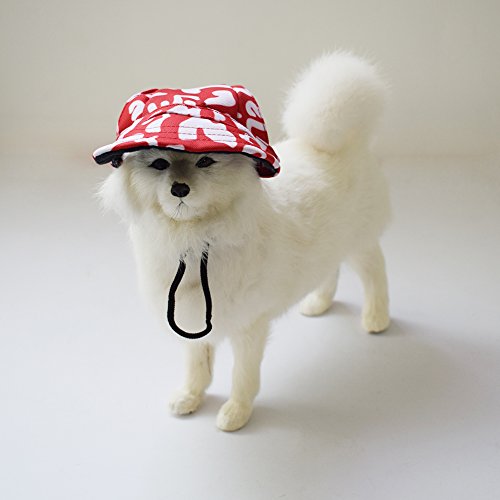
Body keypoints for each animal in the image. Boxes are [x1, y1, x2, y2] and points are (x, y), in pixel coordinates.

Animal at [97, 52, 391, 431]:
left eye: (206, 161)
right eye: (159, 163)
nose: (180, 188)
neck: (196, 240)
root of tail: (336, 143)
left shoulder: (249, 326)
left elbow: (243, 376)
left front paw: (236, 412)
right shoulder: (192, 319)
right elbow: (198, 366)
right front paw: (190, 397)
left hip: (359, 243)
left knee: (375, 273)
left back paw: (376, 318)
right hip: (330, 244)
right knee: (330, 270)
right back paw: (318, 303)